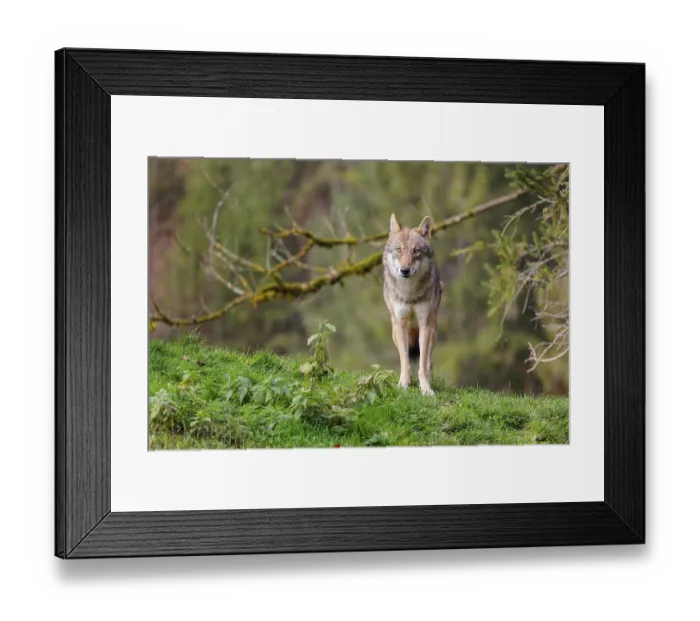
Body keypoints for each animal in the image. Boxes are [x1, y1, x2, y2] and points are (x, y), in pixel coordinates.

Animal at [383, 214, 442, 396]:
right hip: (395, 332)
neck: (409, 293)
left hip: (433, 332)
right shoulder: (400, 324)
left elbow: (422, 365)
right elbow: (405, 362)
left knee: (428, 361)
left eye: (416, 251)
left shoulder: (425, 325)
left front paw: (426, 389)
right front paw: (403, 385)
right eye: (398, 250)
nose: (405, 270)